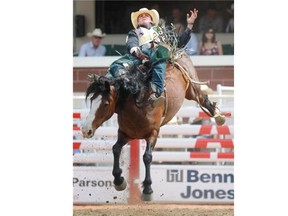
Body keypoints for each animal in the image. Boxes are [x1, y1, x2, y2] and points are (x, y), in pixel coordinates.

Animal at [80, 51, 225, 201]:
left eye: (105, 103)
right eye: (91, 100)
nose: (86, 130)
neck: (137, 103)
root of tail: (178, 55)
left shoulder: (153, 133)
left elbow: (147, 157)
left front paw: (147, 189)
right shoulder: (125, 134)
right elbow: (116, 149)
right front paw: (119, 181)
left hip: (192, 89)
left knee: (203, 98)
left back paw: (219, 116)